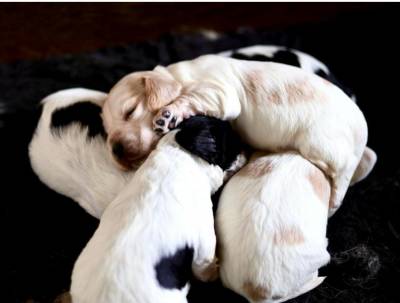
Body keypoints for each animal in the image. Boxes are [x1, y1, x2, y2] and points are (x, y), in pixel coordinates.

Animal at [103, 54, 368, 216]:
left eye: (130, 111)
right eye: (106, 129)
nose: (115, 150)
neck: (177, 75)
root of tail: (362, 129)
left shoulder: (219, 92)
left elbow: (190, 97)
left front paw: (169, 115)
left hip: (323, 145)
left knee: (342, 176)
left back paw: (333, 202)